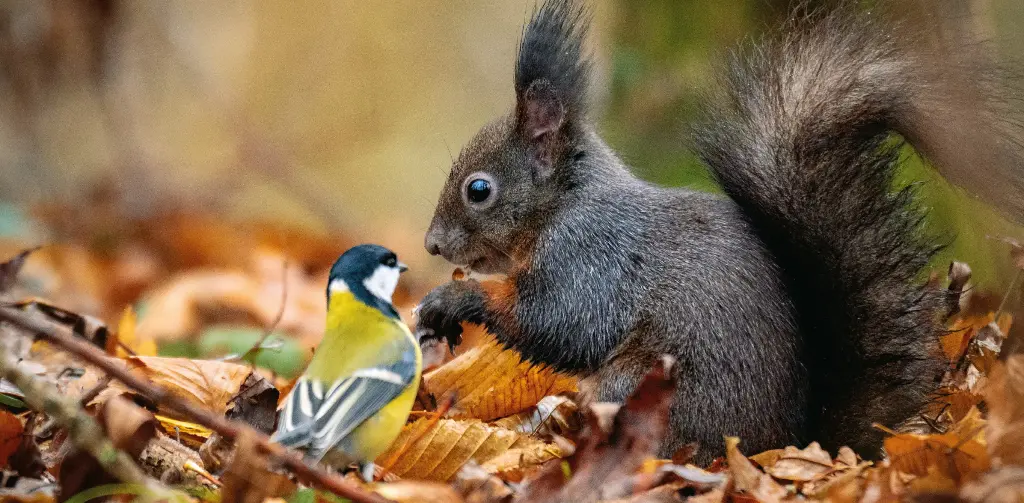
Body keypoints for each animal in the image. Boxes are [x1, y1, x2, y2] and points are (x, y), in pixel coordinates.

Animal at [416, 0, 1024, 462]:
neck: (566, 202)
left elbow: (560, 323)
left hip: (645, 387)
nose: (432, 245)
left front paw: (454, 298)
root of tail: (787, 444)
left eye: (479, 189)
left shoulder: (592, 256)